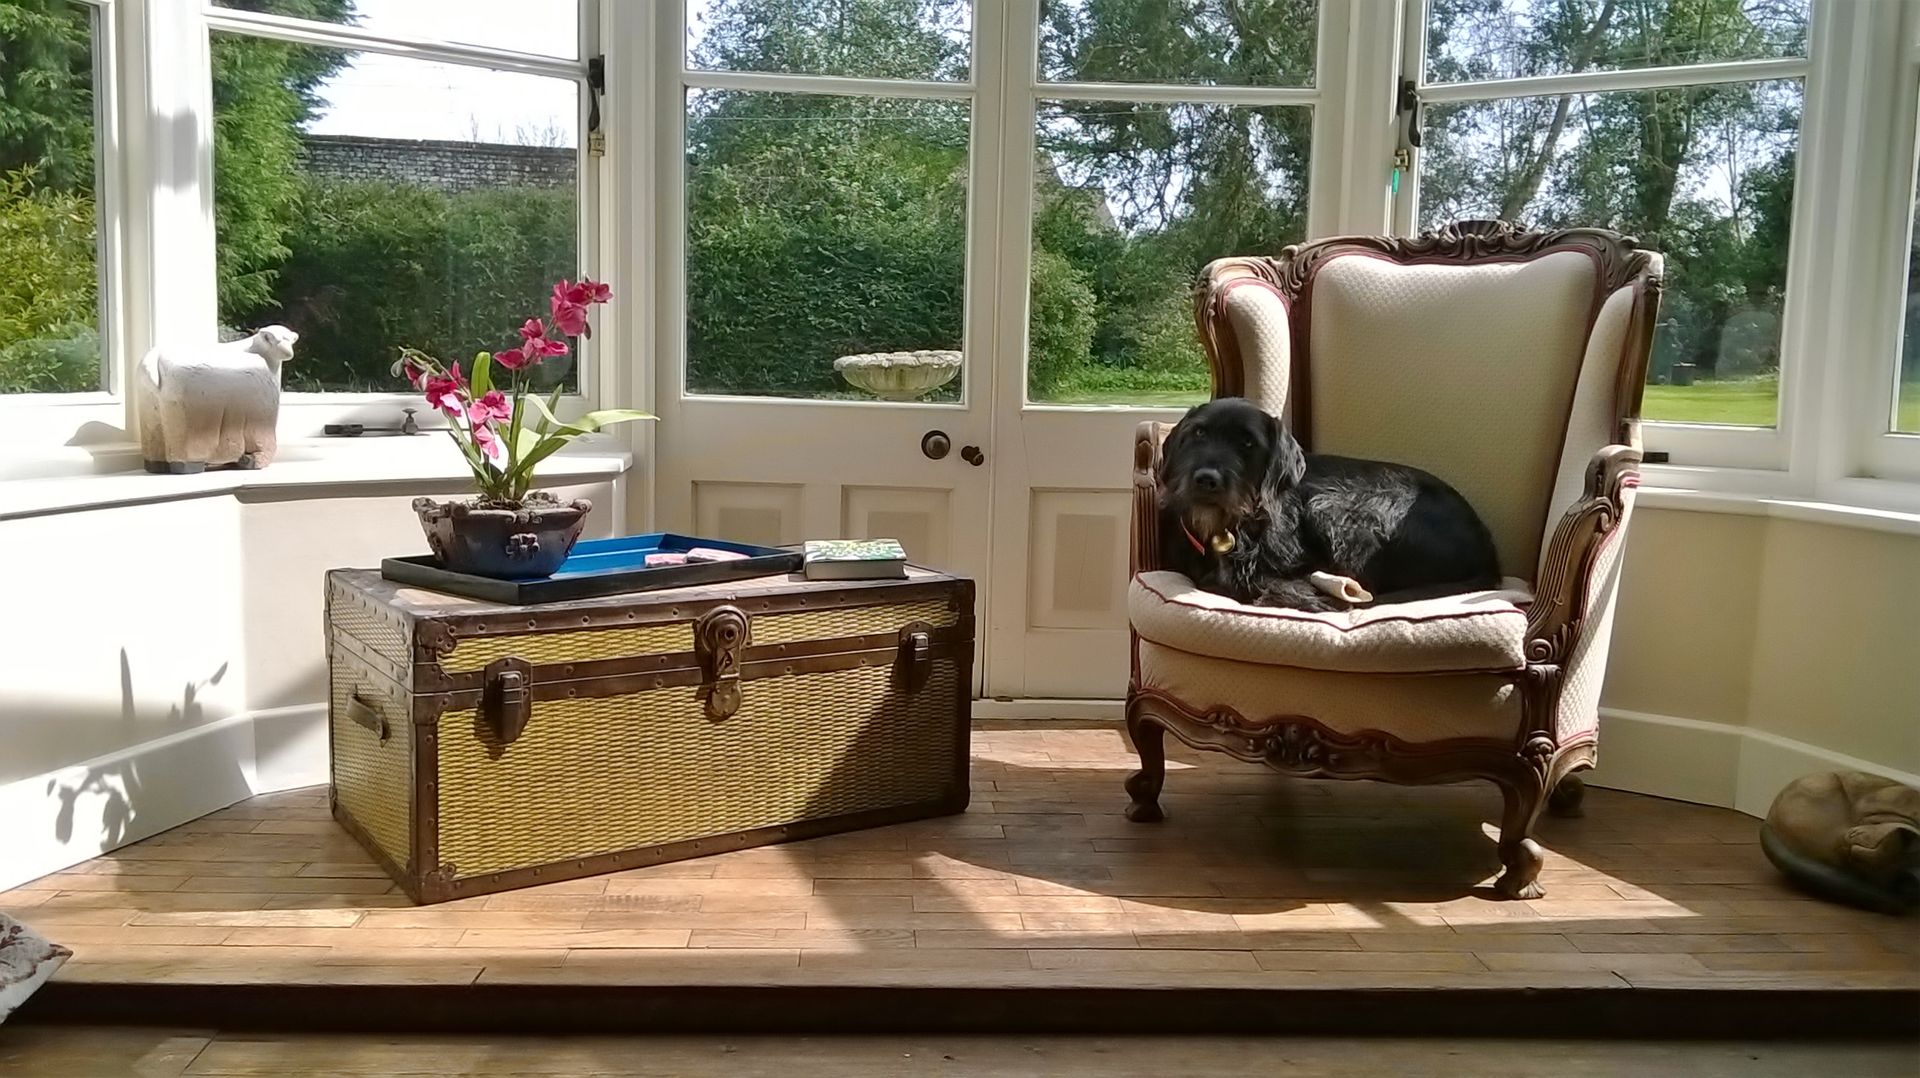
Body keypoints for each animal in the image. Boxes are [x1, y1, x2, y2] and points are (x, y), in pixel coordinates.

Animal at [1152, 397, 1497, 614]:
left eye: (1247, 443)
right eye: (1198, 432)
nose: (1206, 479)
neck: (1229, 528)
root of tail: (1487, 549)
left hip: (1330, 507)